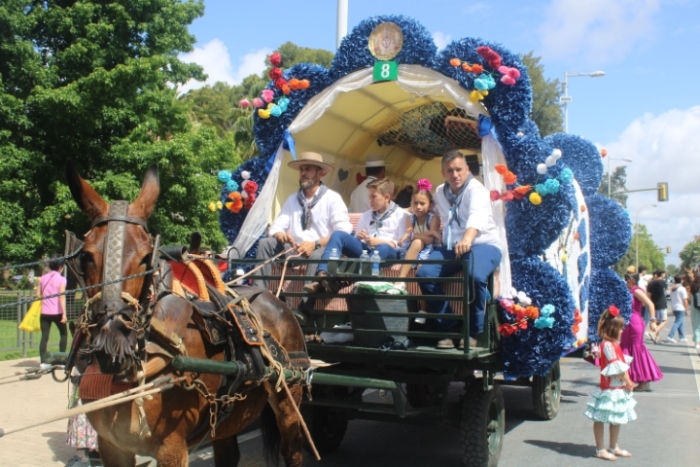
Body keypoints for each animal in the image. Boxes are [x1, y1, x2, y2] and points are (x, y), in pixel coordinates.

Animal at [65, 162, 306, 467]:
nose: (112, 344)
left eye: (146, 258)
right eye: (85, 256)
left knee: (293, 451)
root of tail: (274, 297)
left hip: (289, 399)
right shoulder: (112, 446)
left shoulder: (172, 447)